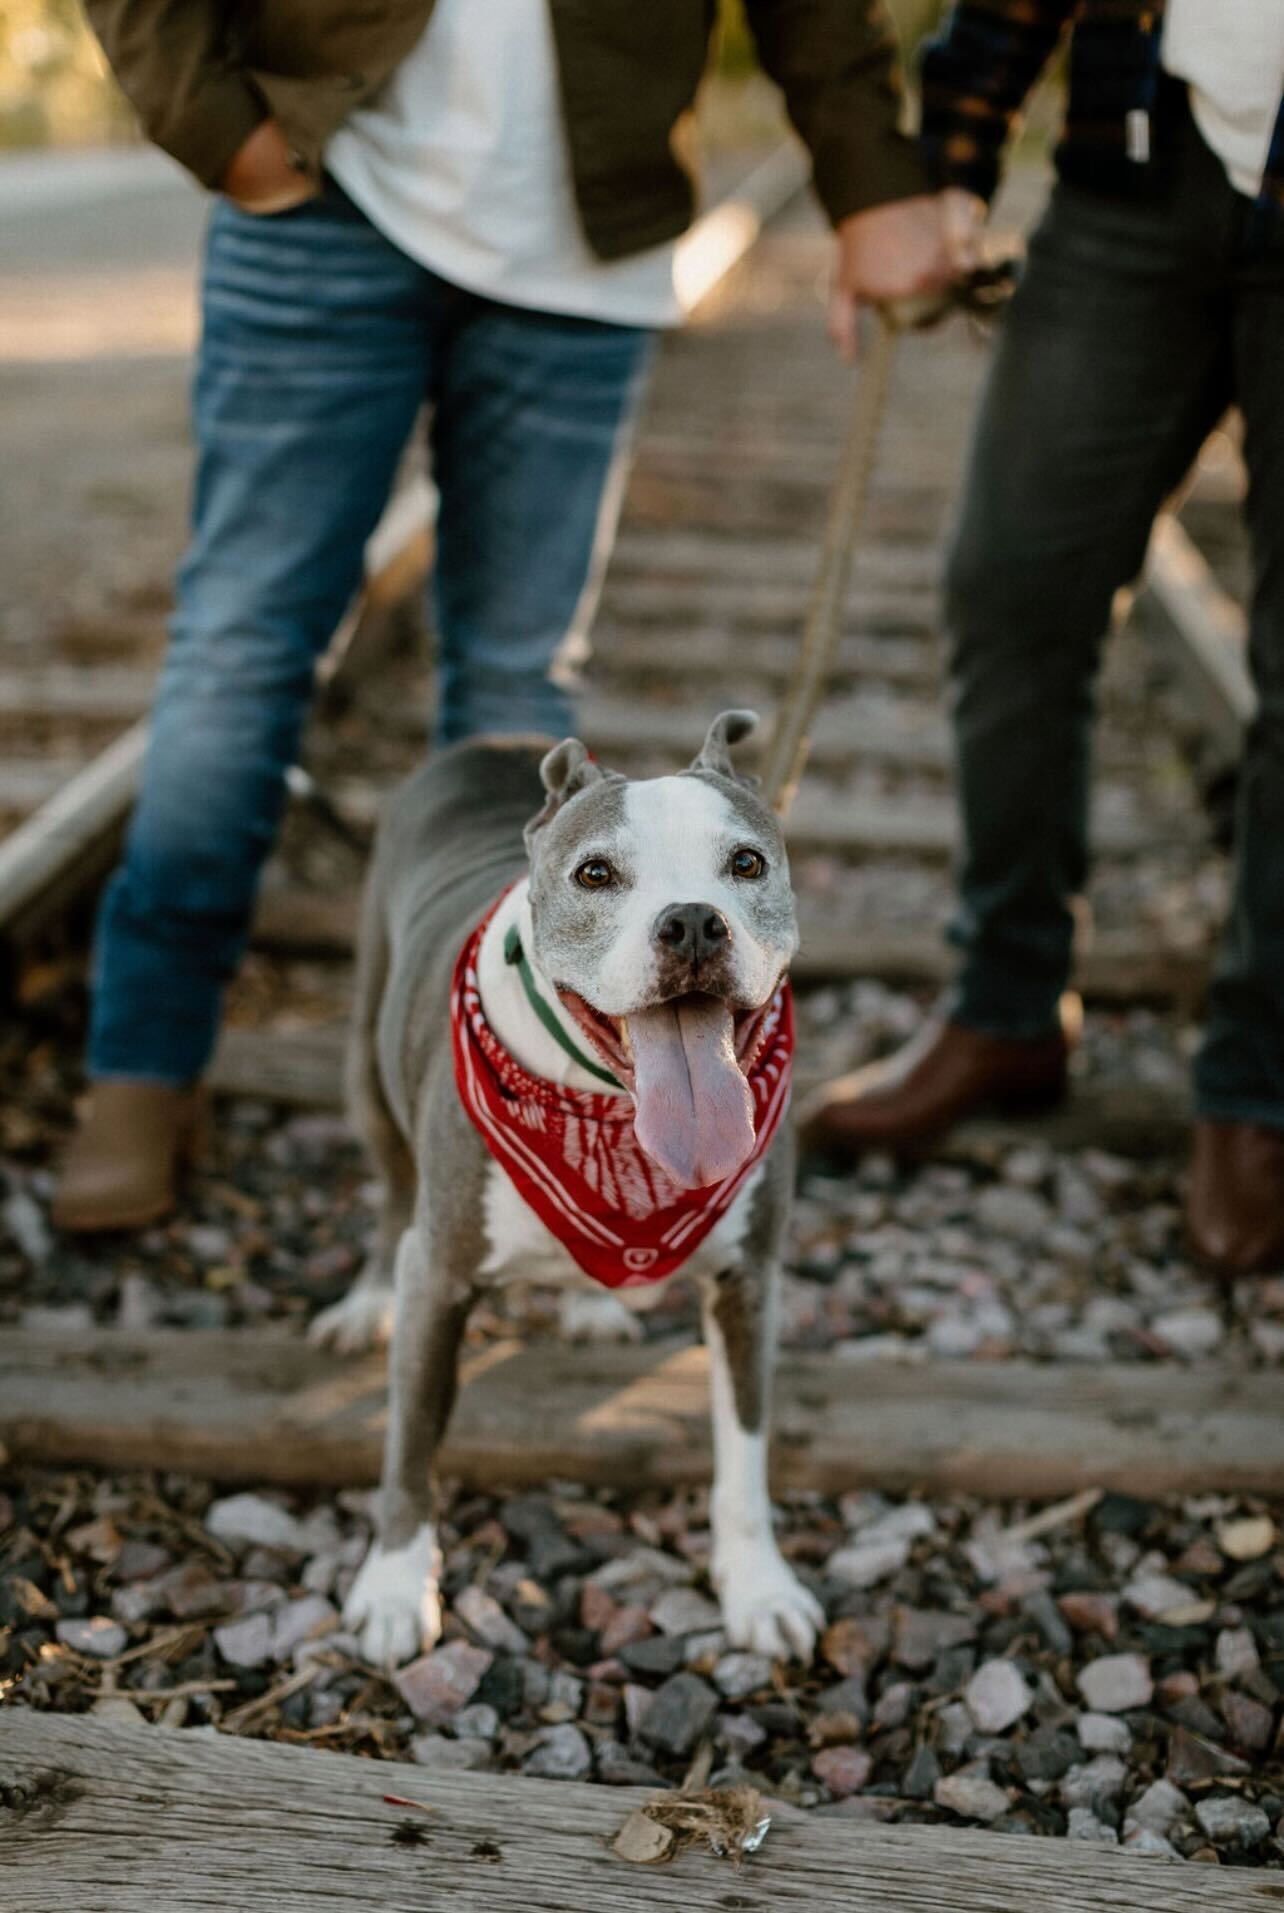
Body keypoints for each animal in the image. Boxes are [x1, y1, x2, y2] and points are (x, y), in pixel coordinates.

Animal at [319, 711, 822, 1668]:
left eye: (746, 863)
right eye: (595, 873)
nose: (693, 922)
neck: (609, 1117)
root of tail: (494, 739)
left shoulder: (749, 1282)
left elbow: (745, 1456)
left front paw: (760, 1588)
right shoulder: (440, 1277)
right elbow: (411, 1442)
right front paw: (395, 1585)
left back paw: (591, 1305)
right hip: (364, 1062)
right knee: (391, 1190)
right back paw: (366, 1300)